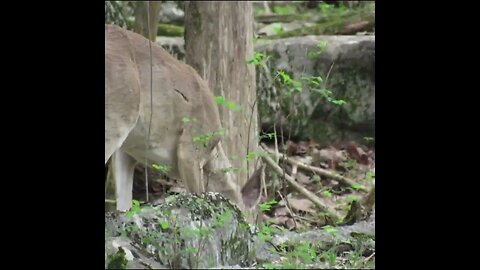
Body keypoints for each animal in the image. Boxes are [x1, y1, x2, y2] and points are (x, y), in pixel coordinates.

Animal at [105, 23, 262, 213]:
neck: (213, 154)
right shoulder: (191, 145)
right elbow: (198, 195)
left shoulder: (127, 151)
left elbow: (124, 203)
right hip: (119, 113)